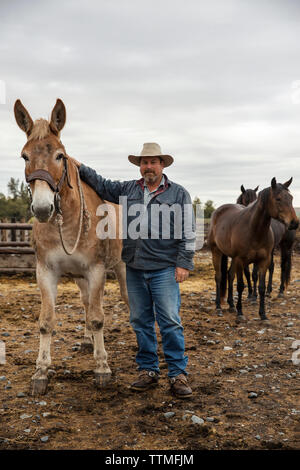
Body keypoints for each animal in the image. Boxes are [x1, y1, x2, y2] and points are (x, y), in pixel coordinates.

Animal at [14, 99, 129, 396]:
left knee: (127, 301)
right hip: (79, 277)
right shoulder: (46, 272)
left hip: (121, 268)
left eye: (60, 156)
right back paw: (88, 340)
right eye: (24, 156)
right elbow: (46, 321)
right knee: (86, 302)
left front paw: (102, 368)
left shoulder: (96, 270)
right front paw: (41, 371)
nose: (43, 208)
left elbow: (99, 317)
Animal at [209, 178, 298, 322]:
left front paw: (263, 314)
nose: (294, 223)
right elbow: (241, 285)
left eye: (291, 198)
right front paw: (241, 312)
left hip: (285, 246)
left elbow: (260, 285)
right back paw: (218, 306)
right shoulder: (240, 260)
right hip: (217, 252)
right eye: (278, 199)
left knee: (282, 266)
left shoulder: (263, 260)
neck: (253, 229)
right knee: (219, 276)